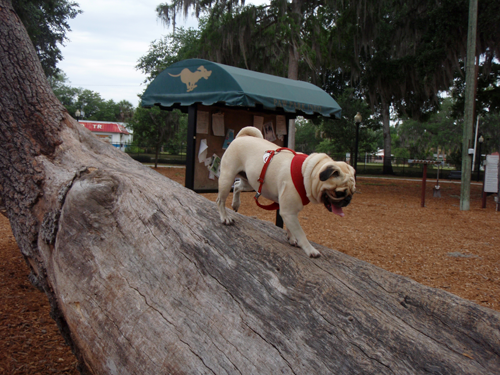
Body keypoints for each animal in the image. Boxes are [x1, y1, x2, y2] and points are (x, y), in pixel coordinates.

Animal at [216, 126, 356, 258]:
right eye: (340, 193)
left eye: (353, 192)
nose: (348, 200)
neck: (306, 173)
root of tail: (240, 137)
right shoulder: (289, 212)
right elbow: (301, 233)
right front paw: (310, 250)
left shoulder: (289, 212)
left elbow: (290, 227)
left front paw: (292, 238)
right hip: (227, 178)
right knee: (220, 200)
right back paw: (225, 218)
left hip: (250, 182)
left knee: (237, 186)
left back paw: (236, 204)